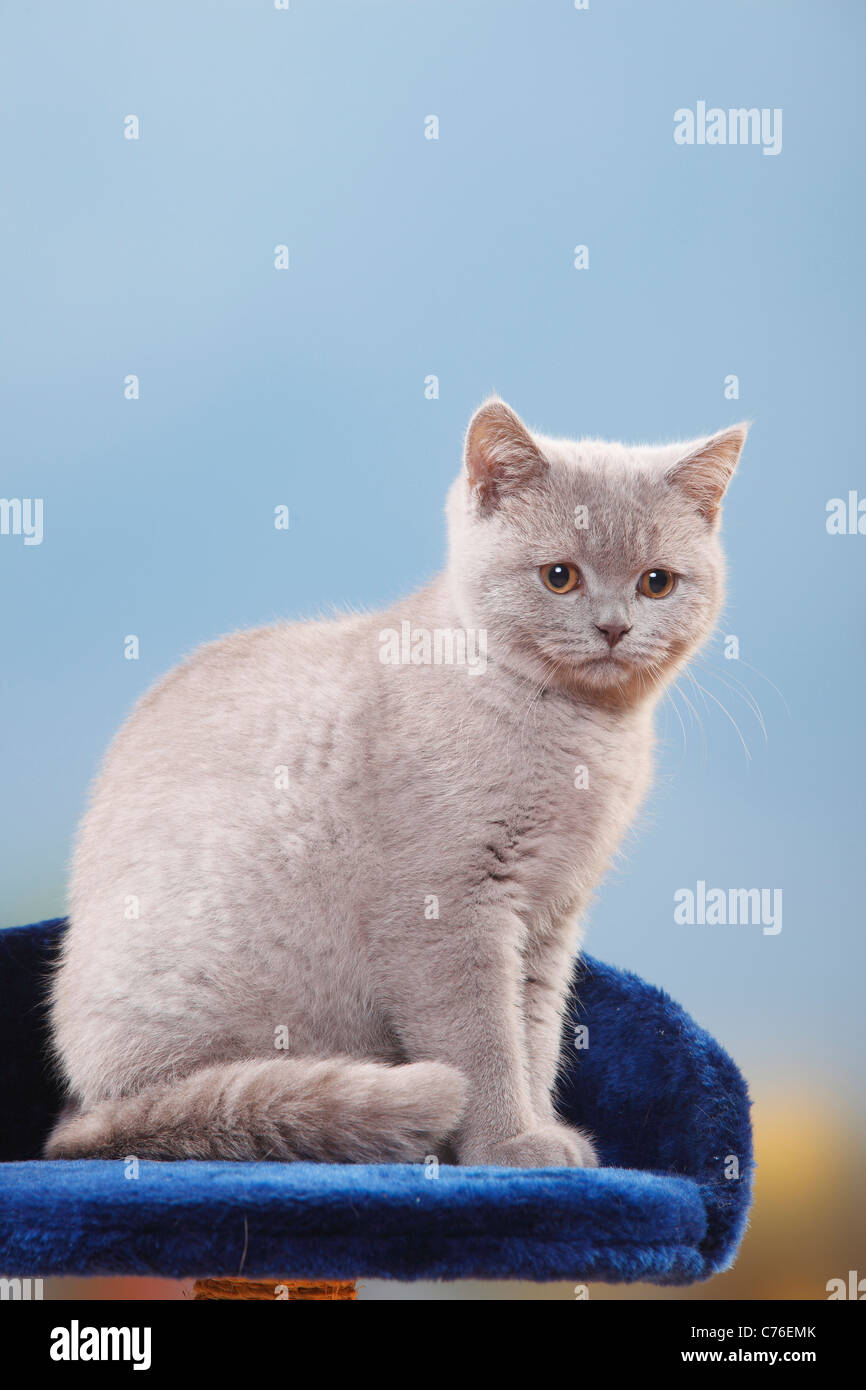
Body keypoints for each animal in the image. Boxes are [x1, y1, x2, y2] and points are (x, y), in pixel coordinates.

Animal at [47, 397, 750, 1167]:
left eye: (657, 582)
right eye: (560, 576)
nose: (614, 627)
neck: (582, 737)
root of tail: (85, 1111)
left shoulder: (549, 918)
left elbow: (533, 1033)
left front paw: (542, 1131)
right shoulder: (445, 911)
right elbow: (484, 1041)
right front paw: (508, 1144)